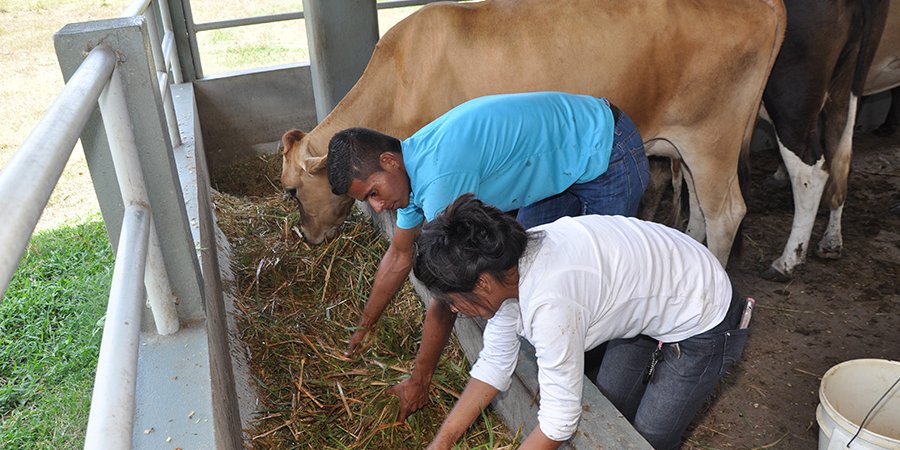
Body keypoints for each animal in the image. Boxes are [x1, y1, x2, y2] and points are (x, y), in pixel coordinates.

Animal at [284, 0, 788, 264]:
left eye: (290, 190)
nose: (305, 236)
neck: (404, 75)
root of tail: (764, 3)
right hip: (690, 148)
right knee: (701, 211)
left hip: (711, 141)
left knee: (727, 214)